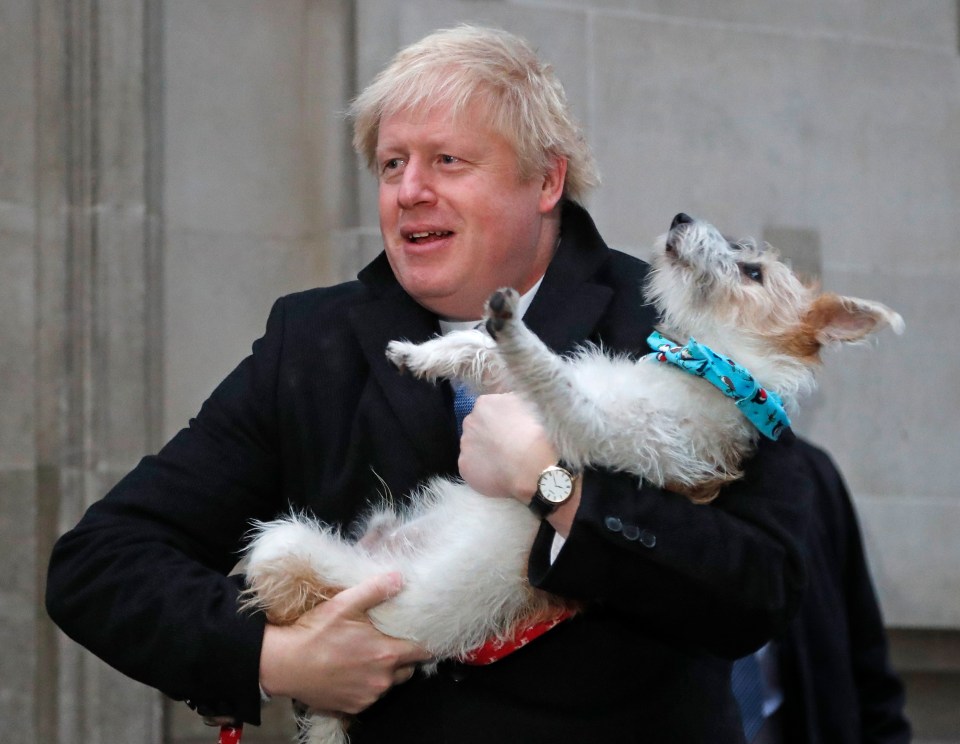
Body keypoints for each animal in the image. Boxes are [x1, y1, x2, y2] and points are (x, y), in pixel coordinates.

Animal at [244, 212, 904, 740]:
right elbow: (488, 358)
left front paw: (508, 326)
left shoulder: (591, 426)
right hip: (287, 540)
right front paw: (423, 354)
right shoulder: (545, 391)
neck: (711, 370)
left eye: (754, 273)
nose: (682, 217)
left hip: (298, 555)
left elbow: (540, 367)